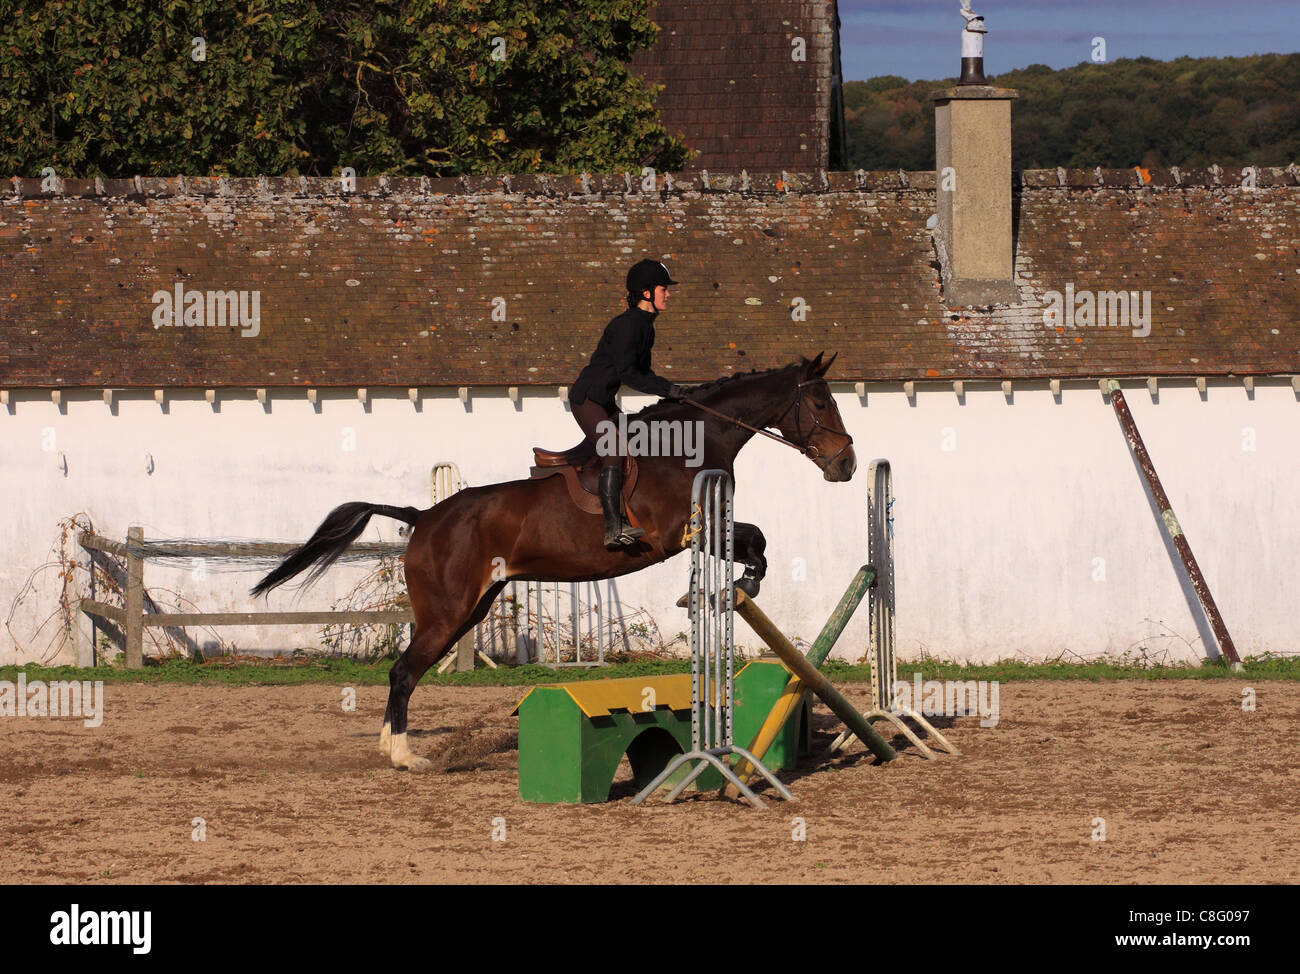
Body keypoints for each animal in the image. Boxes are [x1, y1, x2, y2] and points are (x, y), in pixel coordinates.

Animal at [250, 351, 855, 770]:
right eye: (821, 403)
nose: (846, 464)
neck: (687, 444)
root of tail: (422, 516)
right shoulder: (680, 534)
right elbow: (752, 539)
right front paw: (740, 584)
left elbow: (757, 542)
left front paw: (736, 587)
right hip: (448, 612)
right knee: (403, 671)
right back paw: (404, 755)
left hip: (472, 608)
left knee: (406, 670)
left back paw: (386, 745)